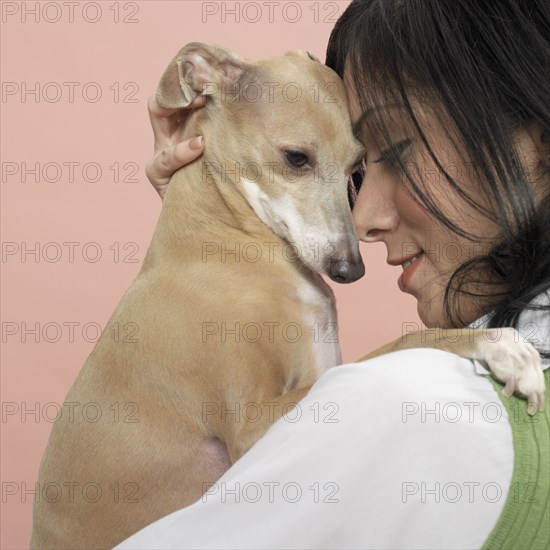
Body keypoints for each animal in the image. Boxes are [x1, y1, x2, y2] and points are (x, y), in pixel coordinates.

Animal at [29, 44, 544, 550]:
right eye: (297, 157)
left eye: (357, 167)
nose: (349, 270)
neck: (231, 244)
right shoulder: (249, 426)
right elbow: (402, 340)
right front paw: (498, 345)